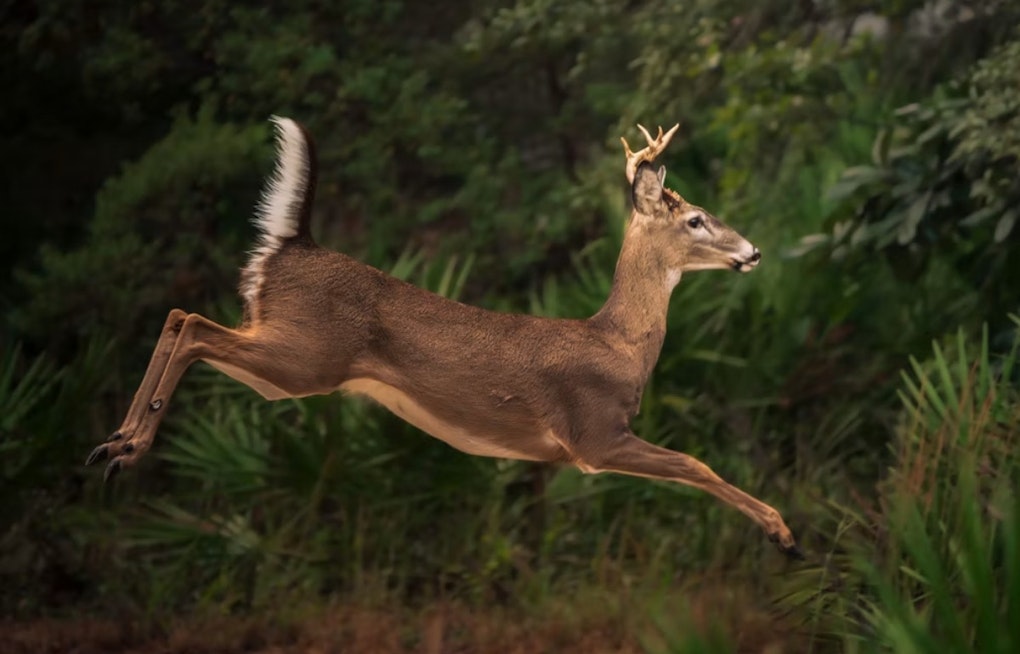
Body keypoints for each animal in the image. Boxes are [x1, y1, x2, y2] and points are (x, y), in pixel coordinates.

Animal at [85, 117, 802, 559]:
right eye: (696, 218)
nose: (754, 252)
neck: (619, 342)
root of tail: (292, 245)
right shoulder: (593, 435)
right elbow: (697, 464)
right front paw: (784, 533)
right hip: (303, 356)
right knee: (193, 324)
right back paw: (125, 448)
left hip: (285, 356)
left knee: (179, 316)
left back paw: (112, 445)